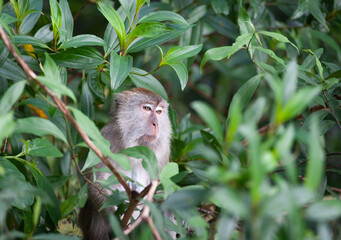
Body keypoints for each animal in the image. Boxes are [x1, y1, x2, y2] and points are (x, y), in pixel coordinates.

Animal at [78, 87, 171, 240]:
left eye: (158, 112)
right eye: (146, 108)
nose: (156, 124)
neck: (135, 146)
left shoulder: (164, 152)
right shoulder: (104, 138)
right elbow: (96, 184)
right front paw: (114, 223)